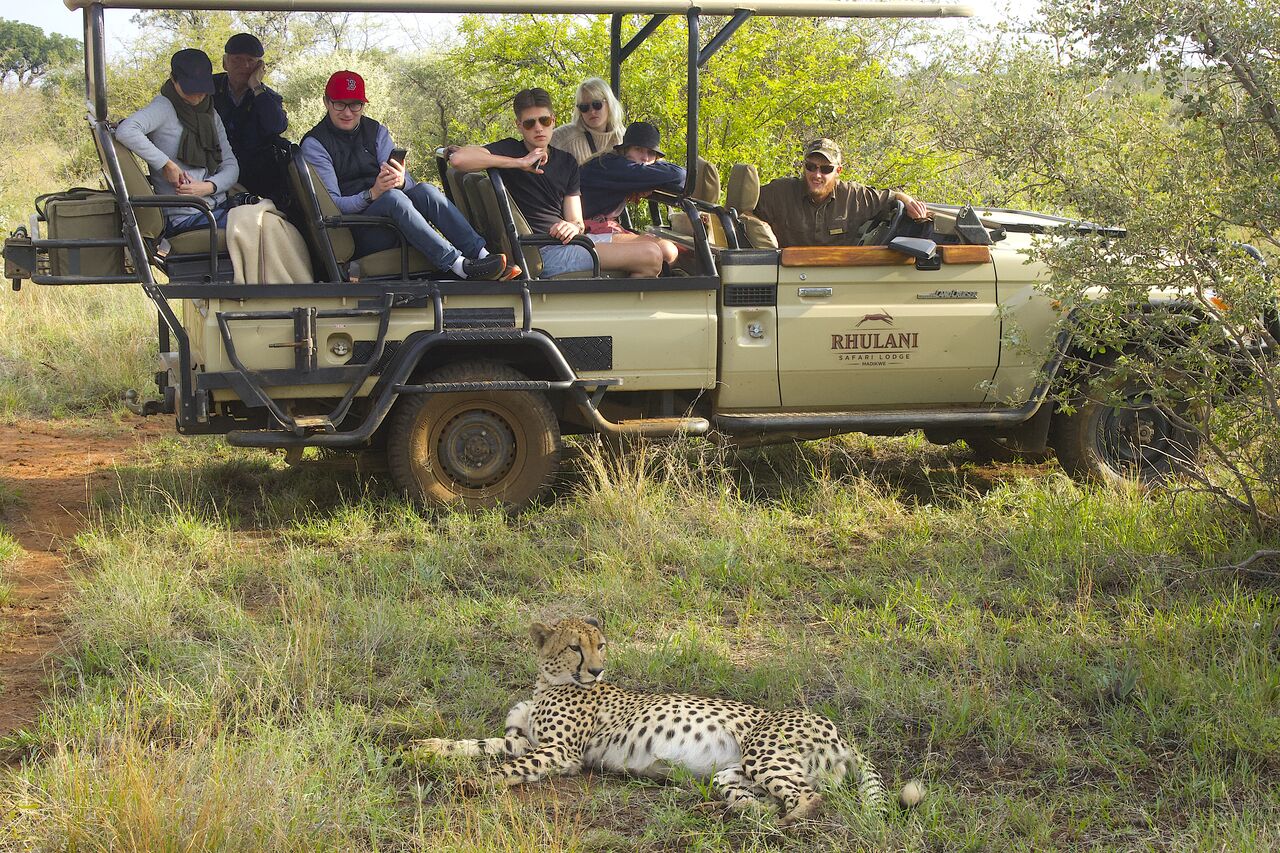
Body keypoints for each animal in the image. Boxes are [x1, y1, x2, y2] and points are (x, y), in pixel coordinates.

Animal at [414, 617, 914, 826]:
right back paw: (735, 813)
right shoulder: (524, 741)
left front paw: (470, 784)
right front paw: (425, 749)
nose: (597, 670)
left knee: (810, 799)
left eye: (600, 646)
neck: (548, 680)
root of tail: (836, 727)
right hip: (734, 772)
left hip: (764, 752)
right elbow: (479, 745)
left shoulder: (560, 753)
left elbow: (505, 767)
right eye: (576, 647)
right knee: (761, 800)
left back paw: (785, 825)